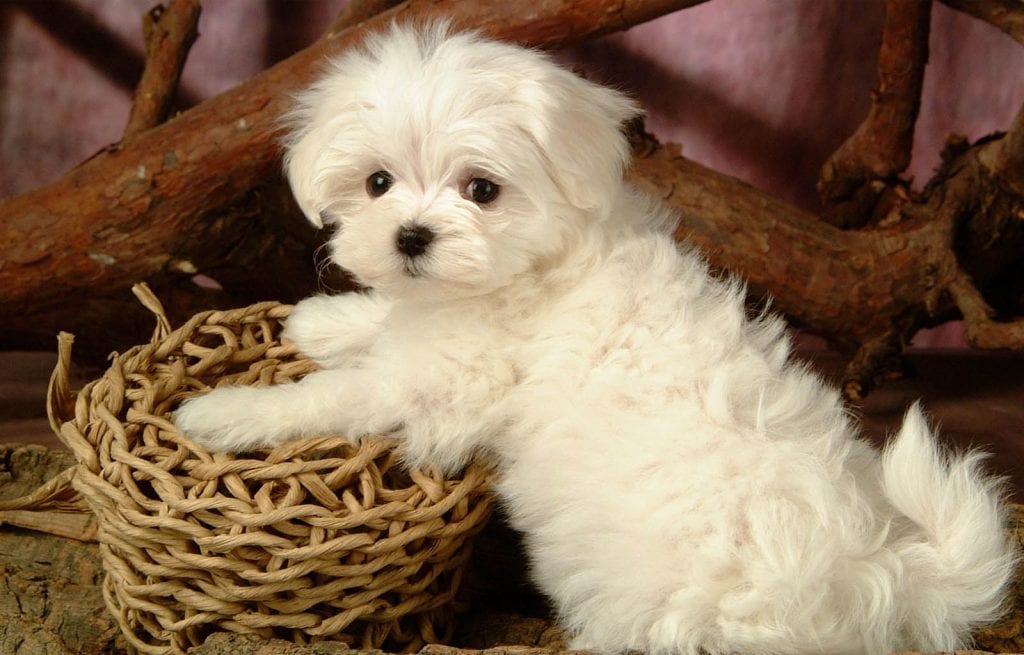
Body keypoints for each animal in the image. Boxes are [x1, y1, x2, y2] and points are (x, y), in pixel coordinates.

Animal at [176, 20, 1015, 655]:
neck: (540, 261)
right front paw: (326, 318)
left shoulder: (445, 383)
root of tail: (886, 577)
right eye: (378, 182)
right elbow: (388, 320)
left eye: (482, 190)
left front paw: (227, 412)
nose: (411, 236)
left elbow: (334, 393)